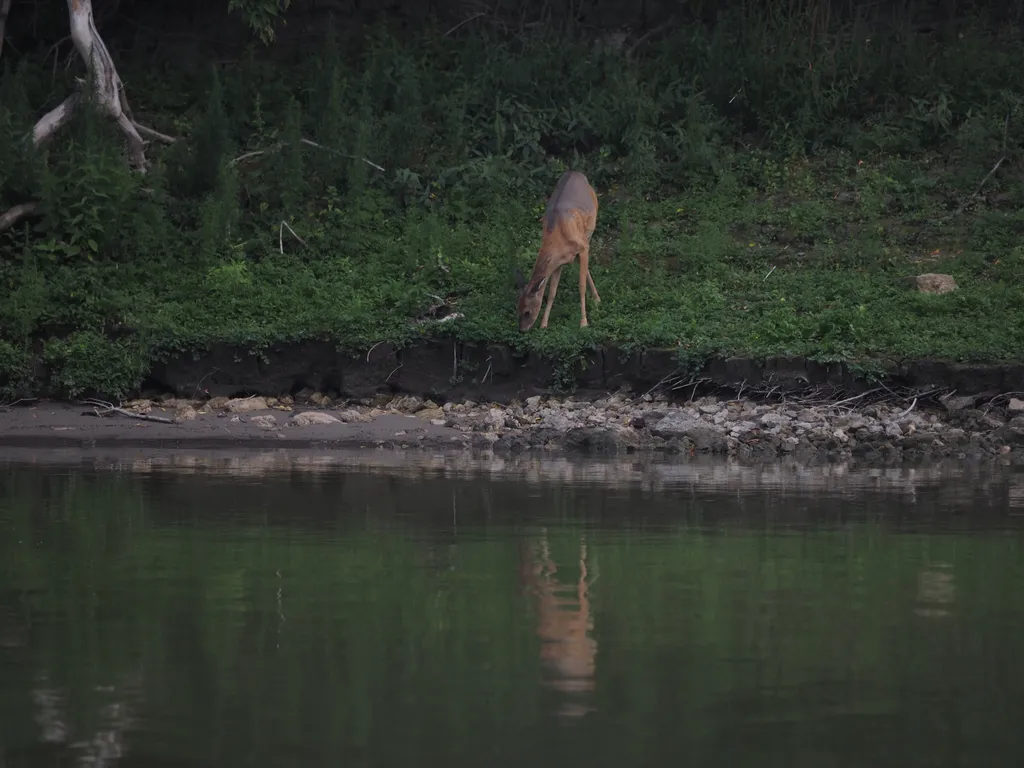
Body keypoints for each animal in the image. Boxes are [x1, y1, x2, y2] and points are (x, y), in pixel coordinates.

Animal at [512, 171, 598, 331]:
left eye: (527, 311)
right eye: (517, 309)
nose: (522, 330)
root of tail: (576, 172)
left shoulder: (582, 247)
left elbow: (581, 286)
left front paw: (583, 322)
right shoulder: (558, 262)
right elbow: (552, 291)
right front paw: (544, 324)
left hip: (590, 228)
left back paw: (597, 298)